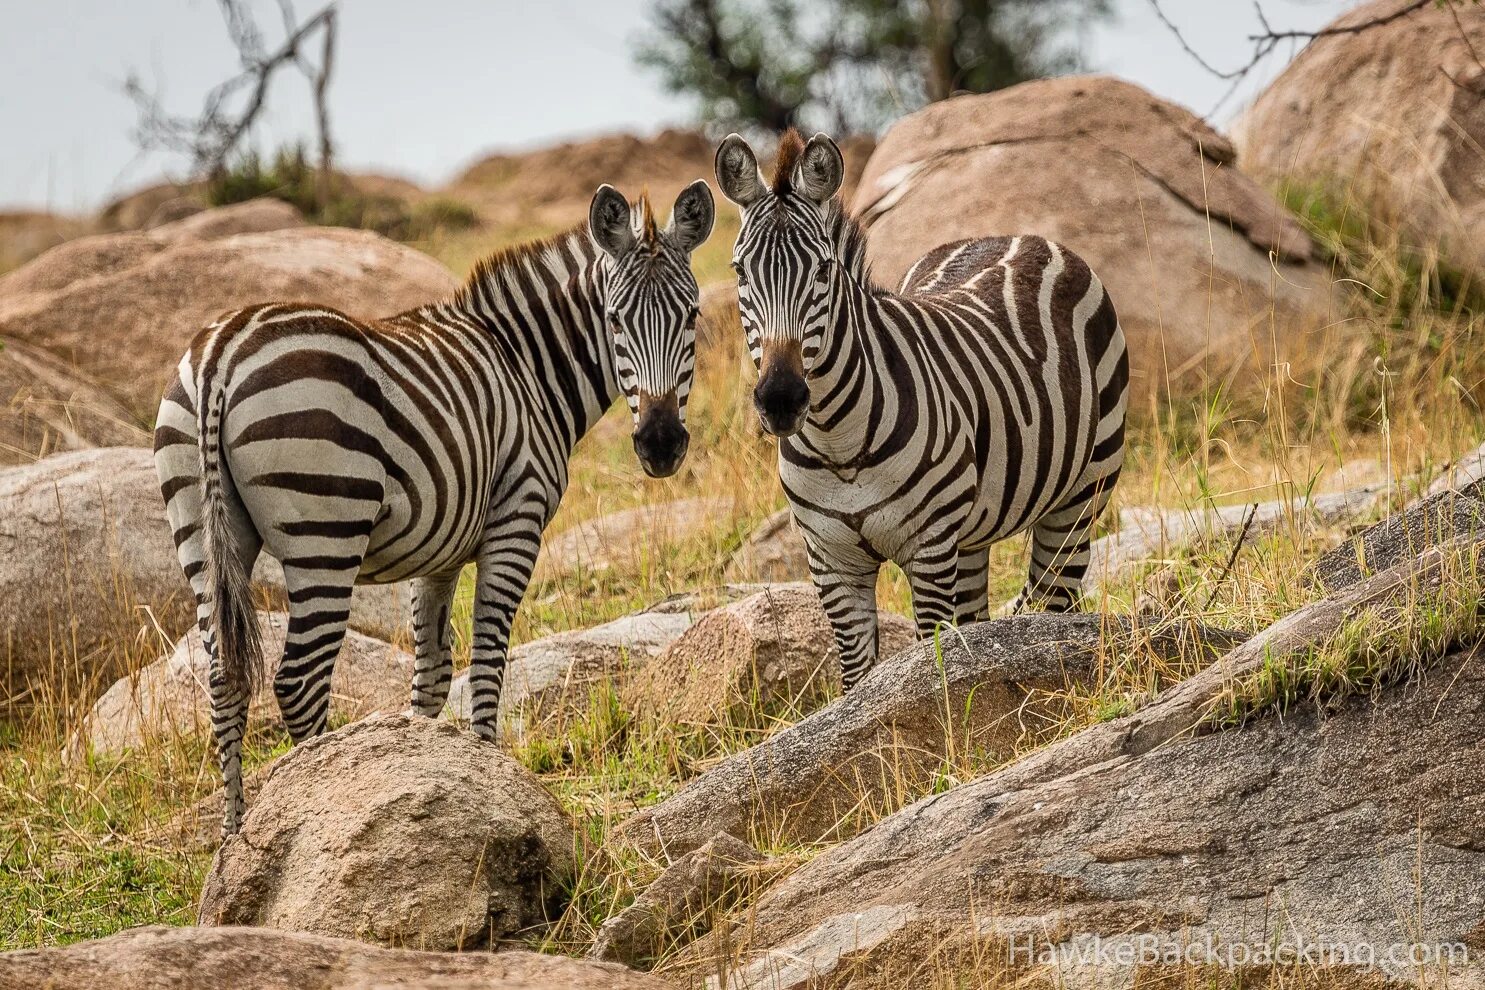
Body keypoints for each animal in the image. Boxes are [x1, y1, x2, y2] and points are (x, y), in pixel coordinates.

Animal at [158, 180, 718, 837]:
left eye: (693, 315)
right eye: (613, 318)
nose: (660, 444)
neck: (526, 367)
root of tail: (220, 355)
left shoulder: (438, 552)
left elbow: (431, 674)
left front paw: (430, 789)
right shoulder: (515, 522)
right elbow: (488, 658)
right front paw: (494, 786)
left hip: (201, 532)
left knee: (224, 678)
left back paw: (235, 838)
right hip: (326, 529)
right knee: (299, 682)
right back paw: (310, 803)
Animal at [715, 131, 1122, 688]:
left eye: (823, 269)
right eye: (739, 271)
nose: (780, 399)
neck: (838, 442)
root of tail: (1020, 236)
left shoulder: (928, 550)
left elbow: (929, 664)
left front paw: (943, 711)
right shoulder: (832, 563)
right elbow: (859, 680)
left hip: (1081, 496)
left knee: (1054, 601)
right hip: (971, 534)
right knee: (980, 622)